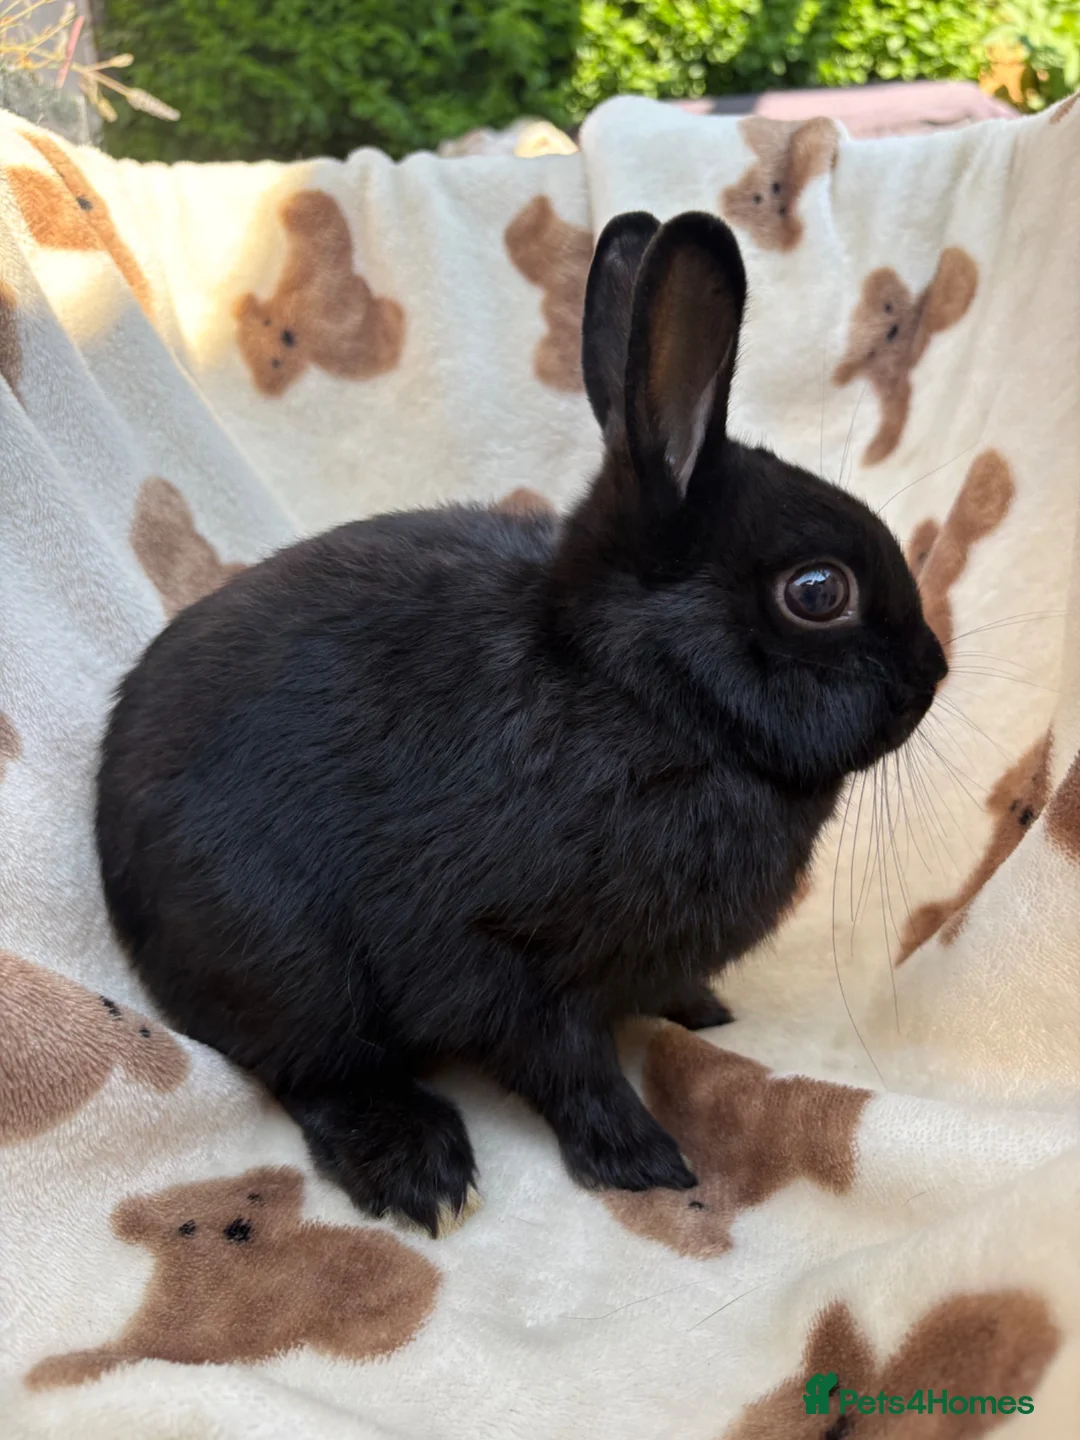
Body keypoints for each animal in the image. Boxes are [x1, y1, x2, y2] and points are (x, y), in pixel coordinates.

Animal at [96, 211, 947, 1237]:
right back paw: (421, 1171)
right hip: (284, 963)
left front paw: (702, 1011)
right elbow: (570, 1066)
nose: (933, 674)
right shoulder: (511, 958)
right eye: (819, 592)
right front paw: (647, 1161)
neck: (640, 695)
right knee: (313, 1070)